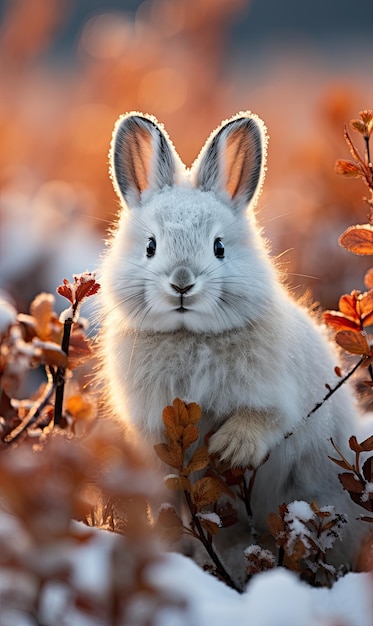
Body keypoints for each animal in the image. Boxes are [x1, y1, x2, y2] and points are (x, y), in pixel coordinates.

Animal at [99, 111, 370, 572]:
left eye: (219, 247)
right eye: (150, 246)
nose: (182, 283)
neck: (189, 335)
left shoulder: (280, 399)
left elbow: (263, 419)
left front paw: (227, 448)